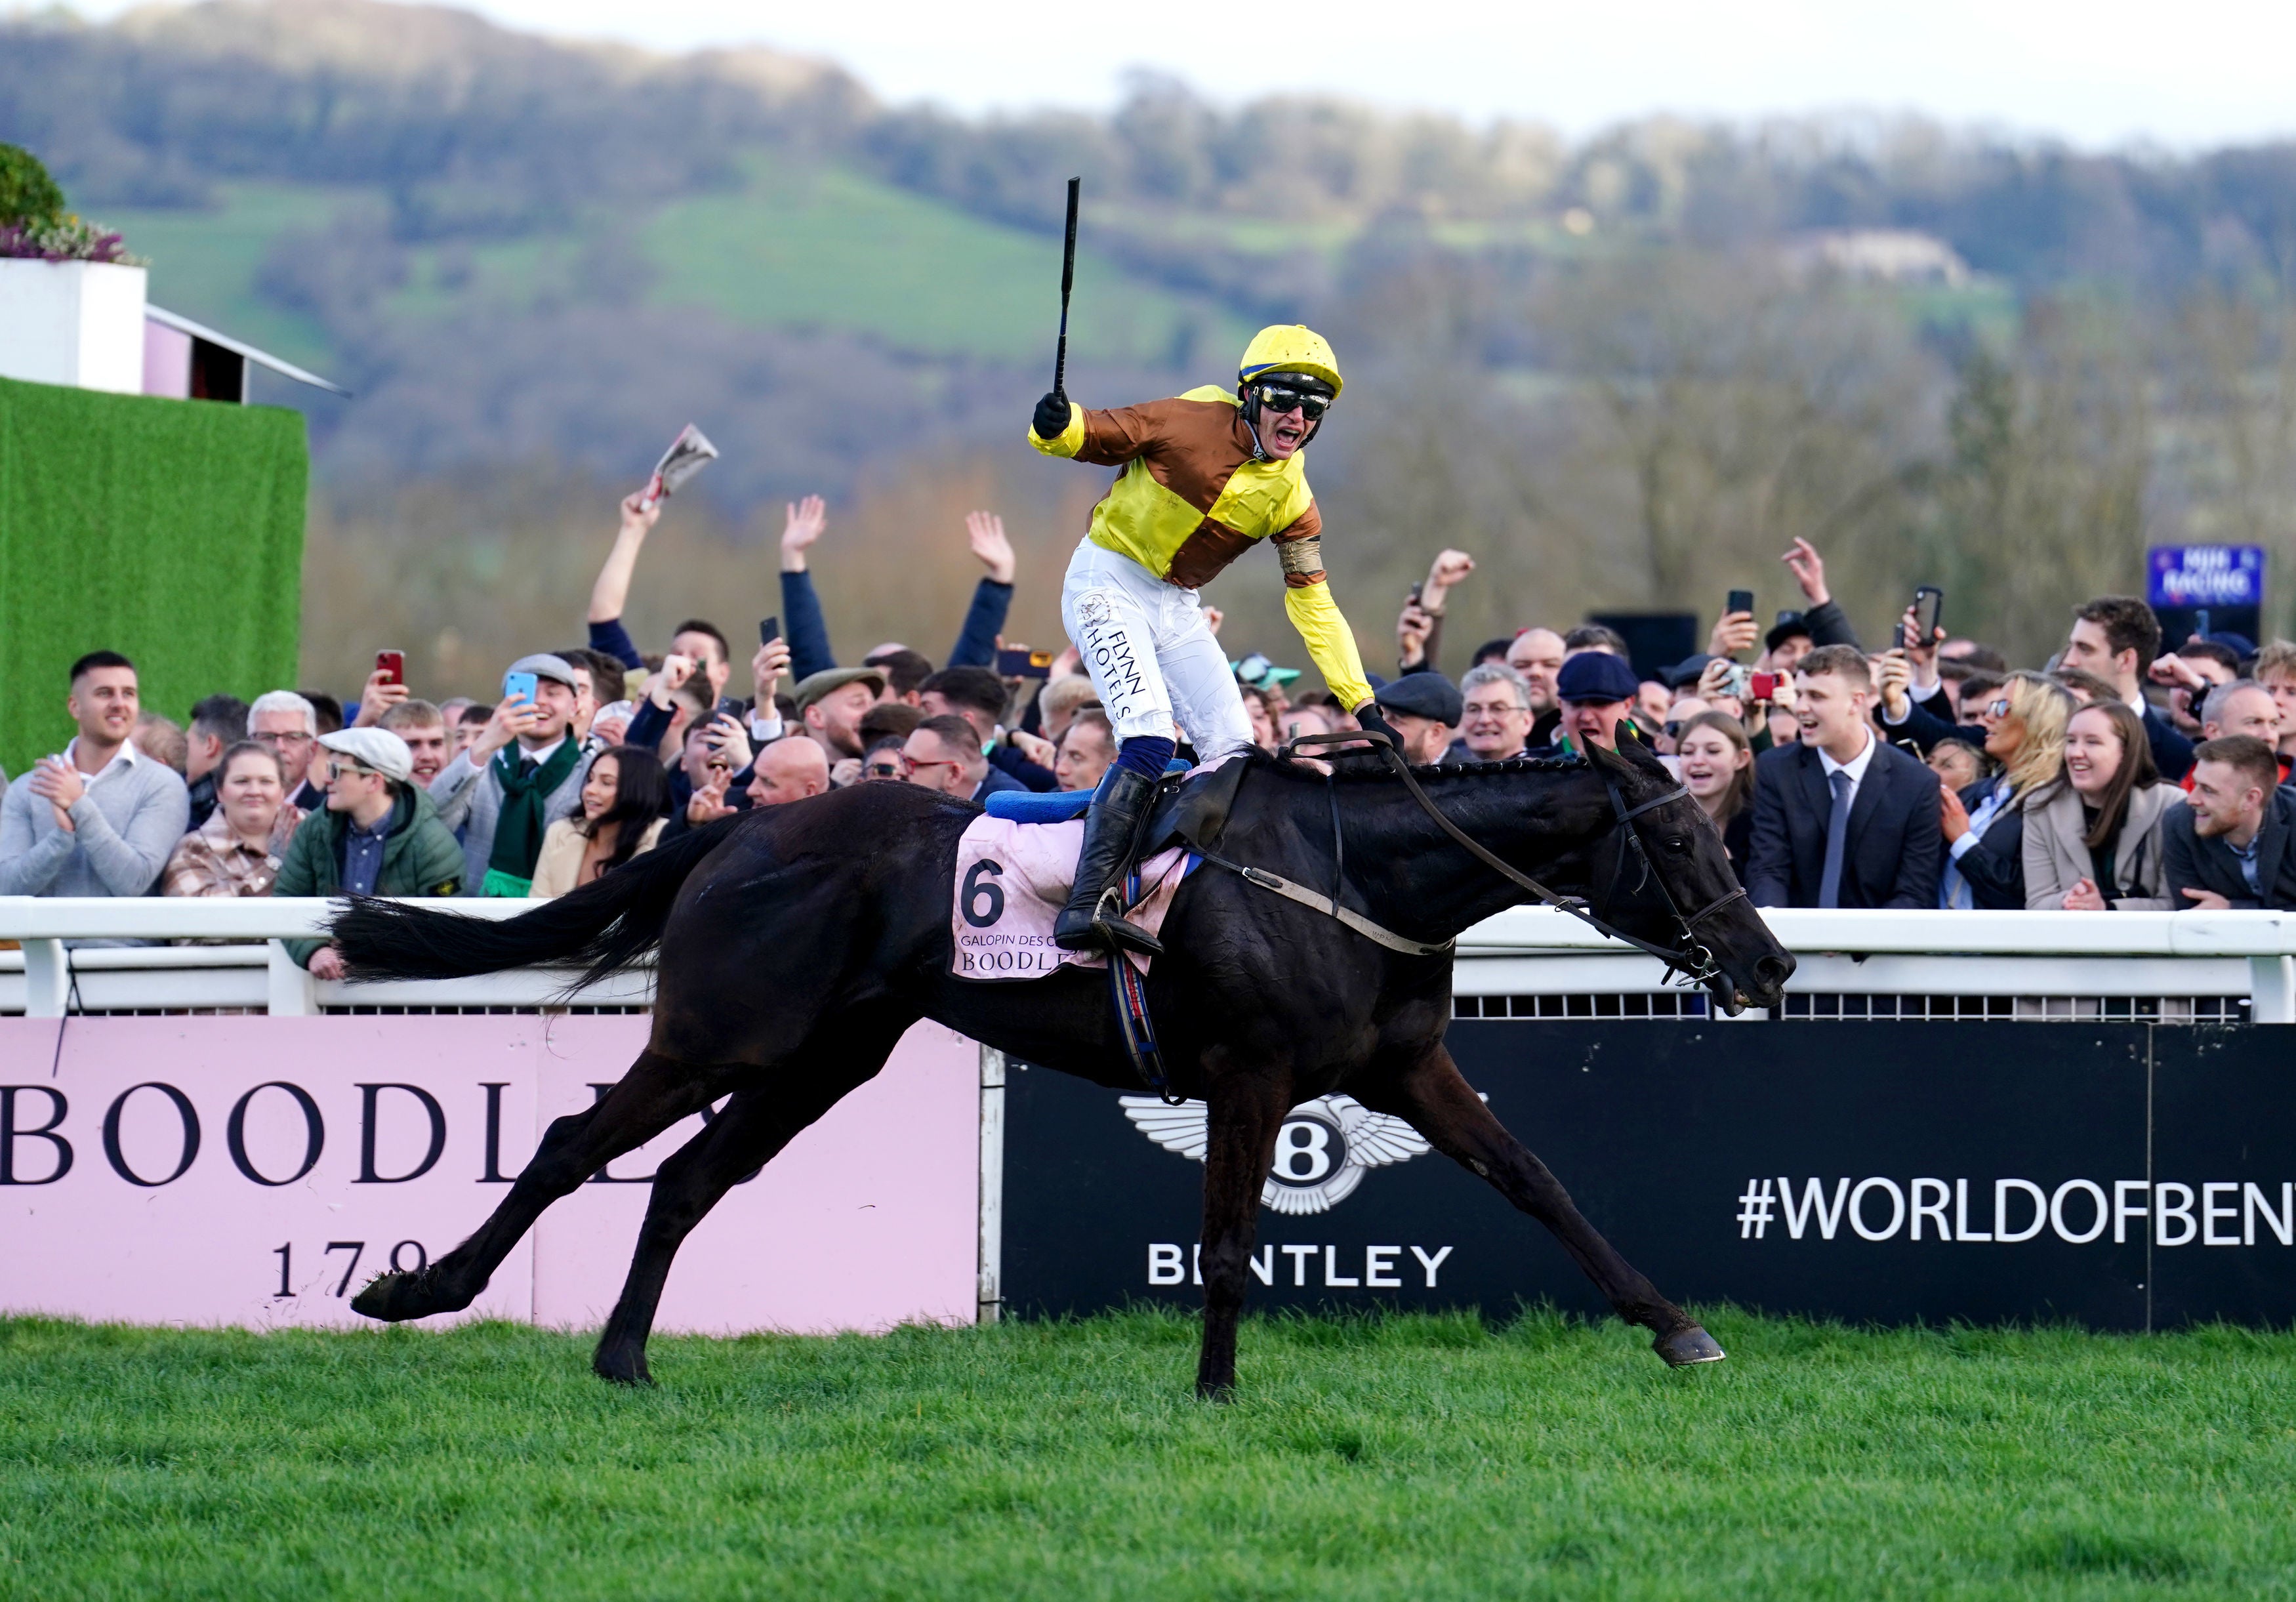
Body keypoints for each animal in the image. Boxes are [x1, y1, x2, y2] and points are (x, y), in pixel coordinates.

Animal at [328, 739, 1791, 1395]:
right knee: (572, 1147)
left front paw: (1675, 1324)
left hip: (822, 1061)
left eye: (1713, 831)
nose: (1770, 962)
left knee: (685, 1182)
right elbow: (1225, 1241)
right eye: (1675, 846)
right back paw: (421, 1289)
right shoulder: (1250, 1077)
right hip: (721, 1036)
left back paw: (626, 1356)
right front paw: (1215, 1387)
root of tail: (736, 829)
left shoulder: (1403, 1070)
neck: (1353, 879)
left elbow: (1538, 1181)